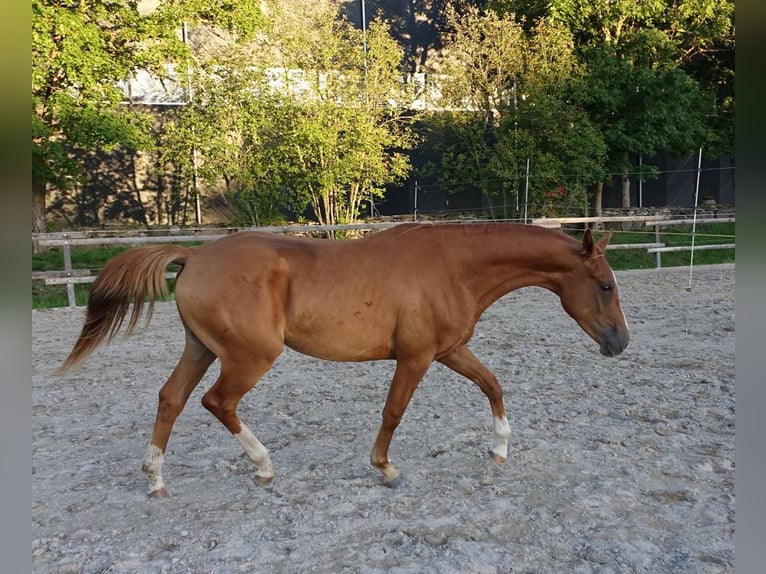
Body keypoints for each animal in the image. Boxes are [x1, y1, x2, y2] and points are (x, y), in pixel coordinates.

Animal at [58, 223, 632, 498]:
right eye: (605, 285)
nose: (621, 343)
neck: (454, 265)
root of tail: (195, 256)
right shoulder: (417, 357)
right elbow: (393, 412)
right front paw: (386, 469)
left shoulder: (449, 350)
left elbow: (493, 385)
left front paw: (499, 451)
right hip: (250, 357)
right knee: (217, 402)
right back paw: (263, 467)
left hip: (200, 349)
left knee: (171, 400)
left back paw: (156, 479)